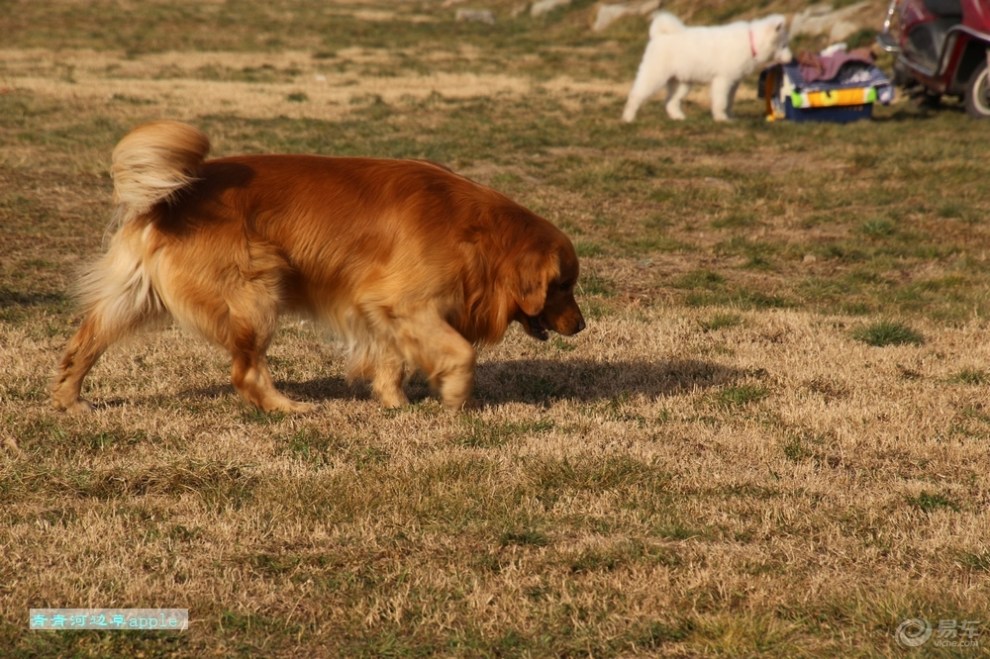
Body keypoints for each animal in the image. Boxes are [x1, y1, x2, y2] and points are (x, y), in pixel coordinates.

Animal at [50, 121, 584, 416]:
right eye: (563, 285)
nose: (581, 325)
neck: (481, 234)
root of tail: (172, 198)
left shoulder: (378, 309)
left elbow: (392, 360)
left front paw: (394, 403)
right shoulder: (407, 304)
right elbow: (460, 352)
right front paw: (456, 397)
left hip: (134, 297)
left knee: (82, 345)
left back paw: (70, 400)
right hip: (257, 294)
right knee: (245, 371)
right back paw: (285, 407)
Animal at [624, 12, 796, 123]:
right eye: (784, 45)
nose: (792, 59)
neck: (751, 42)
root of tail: (660, 35)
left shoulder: (734, 81)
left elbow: (729, 101)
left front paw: (730, 117)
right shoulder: (723, 80)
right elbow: (721, 101)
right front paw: (721, 118)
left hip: (682, 83)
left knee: (670, 102)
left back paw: (679, 118)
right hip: (654, 77)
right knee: (635, 96)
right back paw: (628, 118)